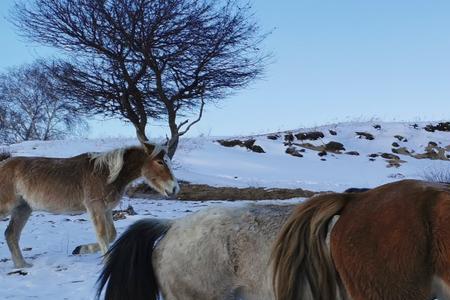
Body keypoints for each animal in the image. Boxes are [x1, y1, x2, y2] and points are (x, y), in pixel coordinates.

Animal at [0, 142, 178, 268]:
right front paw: (106, 261)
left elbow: (111, 234)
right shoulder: (95, 207)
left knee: (11, 234)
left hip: (23, 209)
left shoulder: (106, 210)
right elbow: (102, 235)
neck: (106, 174)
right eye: (160, 162)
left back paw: (23, 265)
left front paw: (80, 249)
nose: (175, 188)